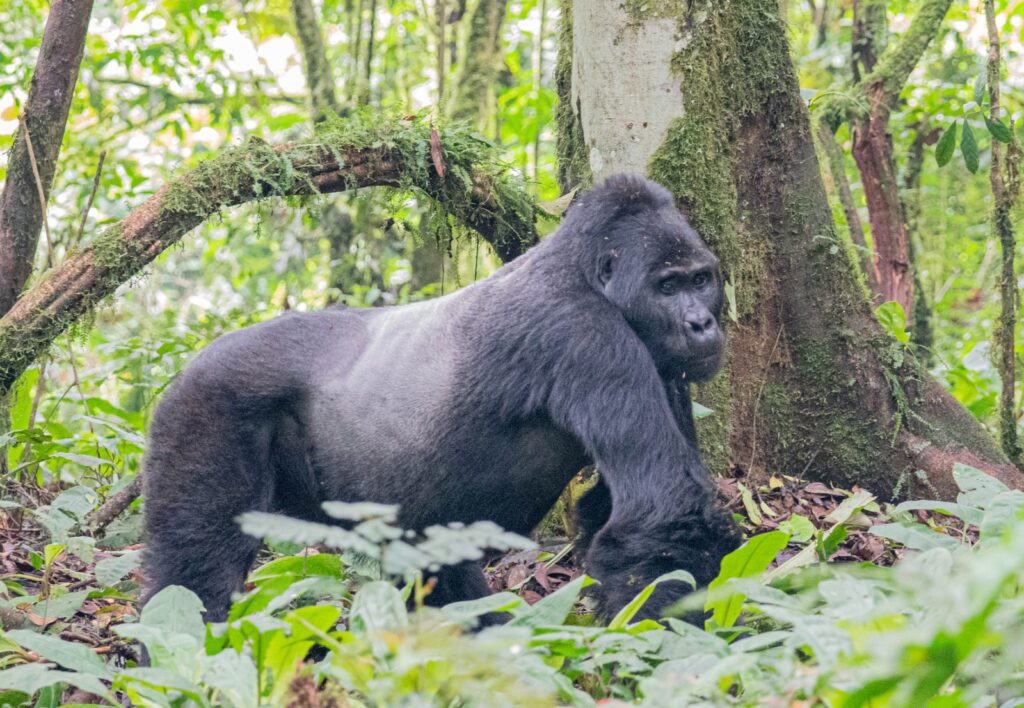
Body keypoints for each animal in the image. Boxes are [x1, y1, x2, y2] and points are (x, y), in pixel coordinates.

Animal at [140, 174, 741, 622]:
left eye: (701, 280)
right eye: (668, 286)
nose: (702, 324)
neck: (582, 271)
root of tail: (188, 367)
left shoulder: (662, 364)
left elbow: (616, 510)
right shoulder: (588, 336)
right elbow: (660, 509)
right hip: (204, 408)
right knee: (197, 572)